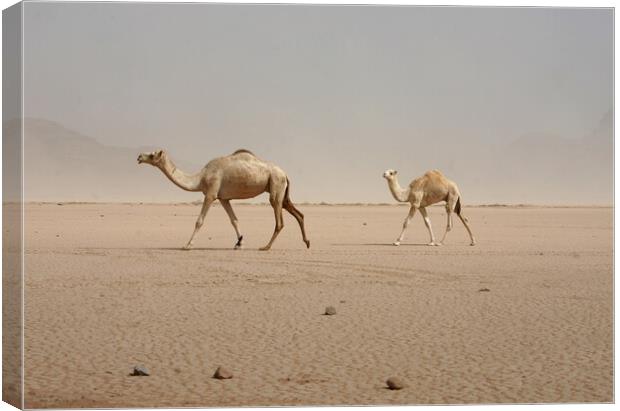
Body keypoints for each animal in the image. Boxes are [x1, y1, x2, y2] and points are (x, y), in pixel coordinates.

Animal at [137, 148, 308, 251]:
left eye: (152, 155)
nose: (139, 156)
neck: (200, 178)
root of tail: (285, 173)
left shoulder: (211, 193)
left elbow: (199, 221)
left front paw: (187, 245)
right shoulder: (223, 198)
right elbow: (234, 220)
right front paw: (239, 243)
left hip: (276, 185)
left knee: (279, 220)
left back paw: (265, 247)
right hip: (281, 191)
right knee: (298, 213)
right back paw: (307, 242)